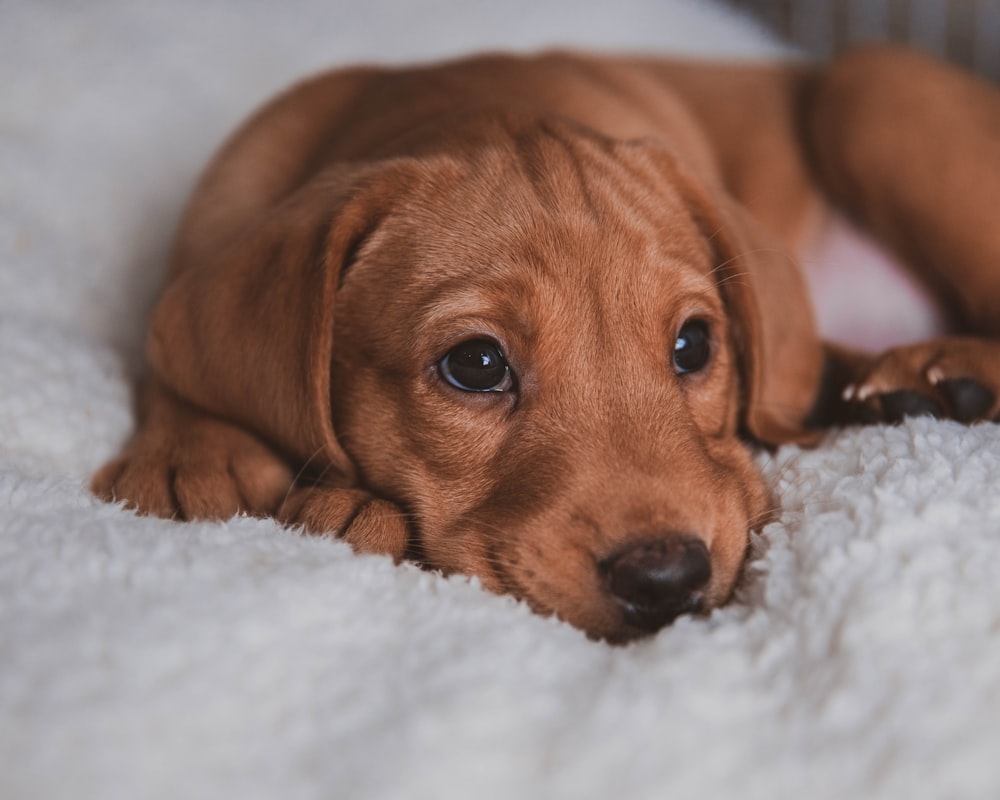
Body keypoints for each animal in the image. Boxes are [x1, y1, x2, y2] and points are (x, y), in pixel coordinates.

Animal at [94, 47, 1000, 640]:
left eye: (694, 345)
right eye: (476, 364)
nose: (665, 579)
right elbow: (169, 363)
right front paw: (192, 453)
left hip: (873, 88)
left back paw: (942, 371)